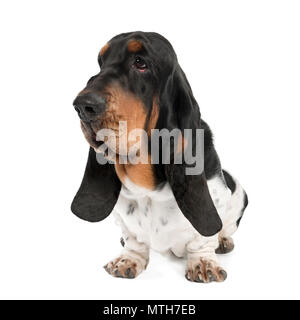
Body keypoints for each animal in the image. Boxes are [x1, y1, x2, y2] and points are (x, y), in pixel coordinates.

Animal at [71, 31, 247, 282]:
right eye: (100, 62)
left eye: (140, 63)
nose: (82, 106)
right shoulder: (123, 217)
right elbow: (133, 239)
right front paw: (128, 259)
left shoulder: (219, 194)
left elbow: (202, 239)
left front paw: (203, 263)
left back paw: (223, 241)